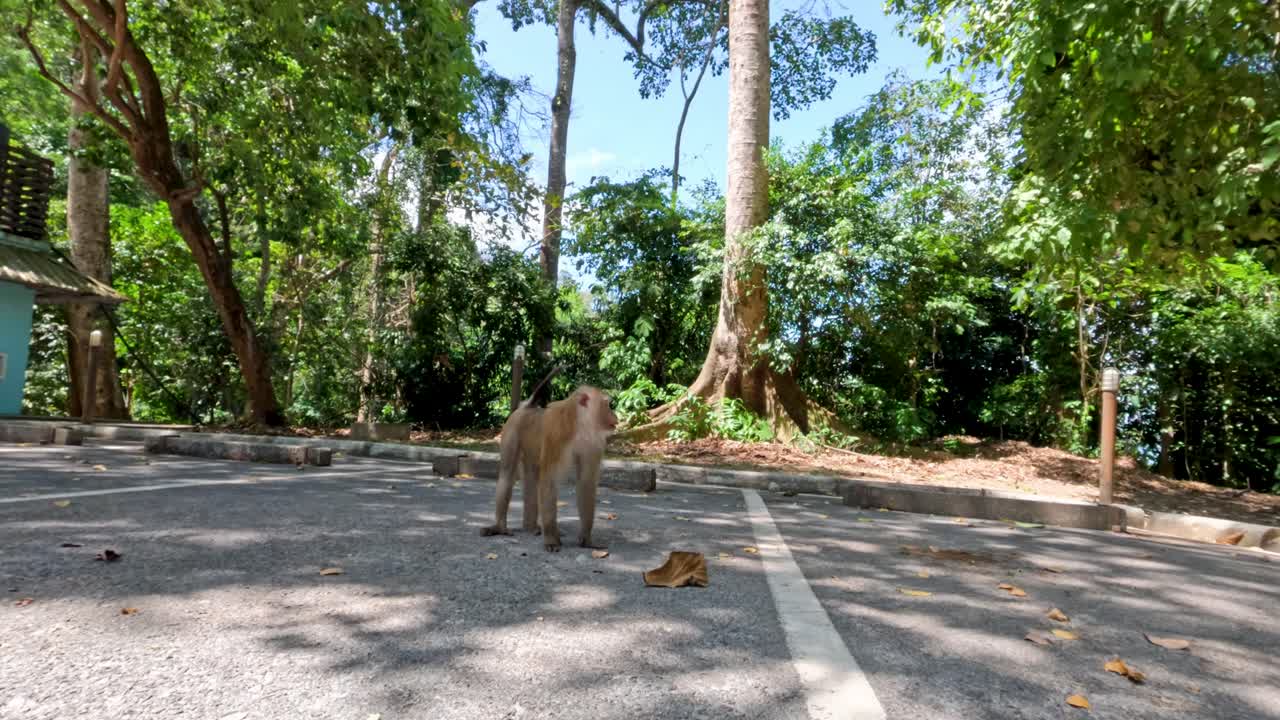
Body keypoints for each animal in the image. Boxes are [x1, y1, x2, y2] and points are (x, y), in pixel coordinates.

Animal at [481, 375, 618, 552]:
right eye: (607, 404)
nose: (615, 416)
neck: (579, 425)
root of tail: (528, 407)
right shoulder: (556, 435)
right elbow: (549, 480)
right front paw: (552, 539)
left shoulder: (593, 443)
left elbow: (586, 483)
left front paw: (586, 538)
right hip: (511, 430)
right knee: (507, 474)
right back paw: (500, 527)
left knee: (532, 479)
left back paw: (531, 526)